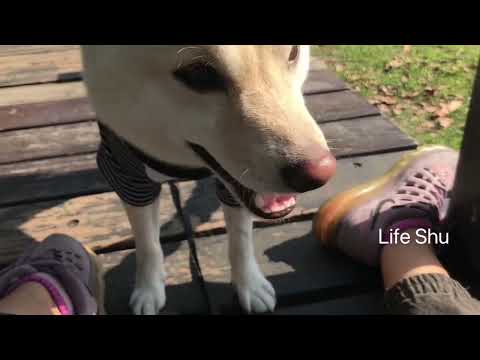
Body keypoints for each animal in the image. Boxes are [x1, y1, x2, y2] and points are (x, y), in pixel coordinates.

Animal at [81, 45, 338, 316]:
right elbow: (148, 244)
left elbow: (240, 240)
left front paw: (249, 284)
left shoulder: (234, 190)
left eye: (293, 53)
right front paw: (149, 289)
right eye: (199, 73)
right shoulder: (128, 175)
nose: (320, 173)